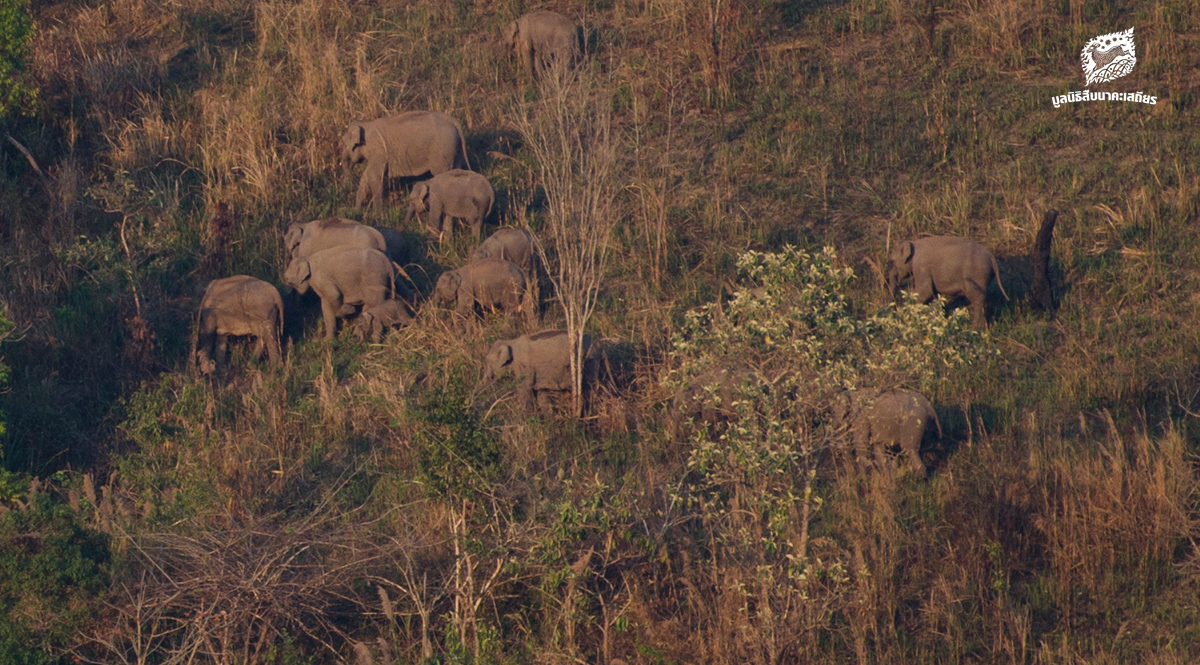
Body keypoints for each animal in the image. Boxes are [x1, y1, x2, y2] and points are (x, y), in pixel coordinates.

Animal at [340, 109, 470, 206]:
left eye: (344, 143)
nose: (354, 181)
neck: (367, 124)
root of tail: (455, 123)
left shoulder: (378, 150)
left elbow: (373, 175)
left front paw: (378, 212)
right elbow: (367, 176)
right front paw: (357, 211)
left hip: (443, 150)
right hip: (455, 149)